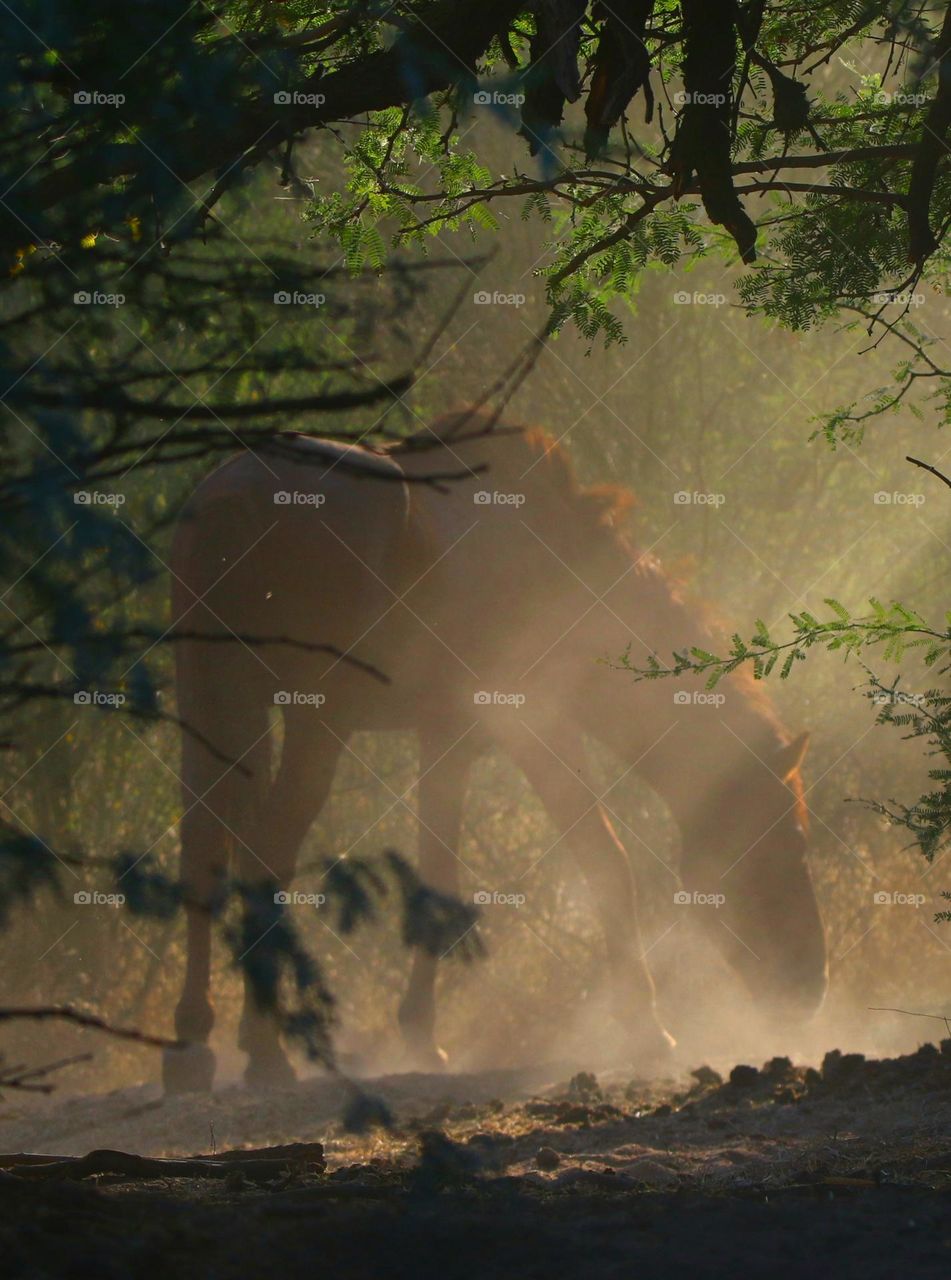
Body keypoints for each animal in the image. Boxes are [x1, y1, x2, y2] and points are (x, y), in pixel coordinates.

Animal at [161, 412, 827, 1091]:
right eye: (793, 841)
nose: (811, 986)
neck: (557, 572)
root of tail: (231, 496)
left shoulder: (445, 742)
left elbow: (437, 874)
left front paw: (422, 1034)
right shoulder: (539, 729)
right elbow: (603, 858)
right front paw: (646, 1024)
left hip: (213, 707)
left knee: (203, 850)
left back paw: (194, 1043)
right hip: (313, 723)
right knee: (265, 852)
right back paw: (264, 1049)